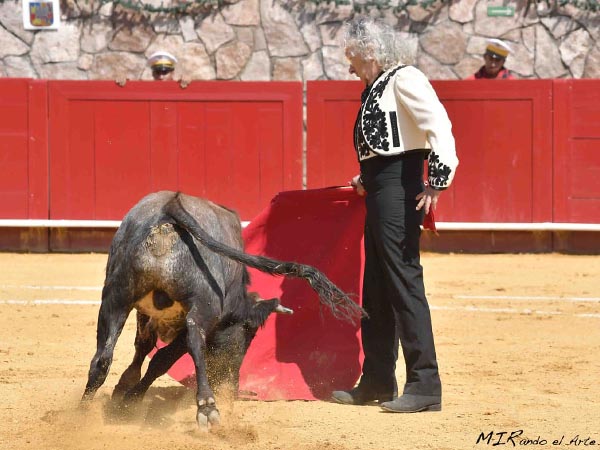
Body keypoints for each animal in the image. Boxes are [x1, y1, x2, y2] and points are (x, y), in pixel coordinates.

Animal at [81, 191, 364, 428]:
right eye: (248, 334)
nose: (231, 387)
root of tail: (169, 211)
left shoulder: (143, 310)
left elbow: (144, 347)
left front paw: (123, 389)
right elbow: (161, 359)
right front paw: (130, 397)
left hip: (115, 299)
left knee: (102, 358)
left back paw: (81, 413)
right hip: (202, 308)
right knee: (193, 342)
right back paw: (207, 407)